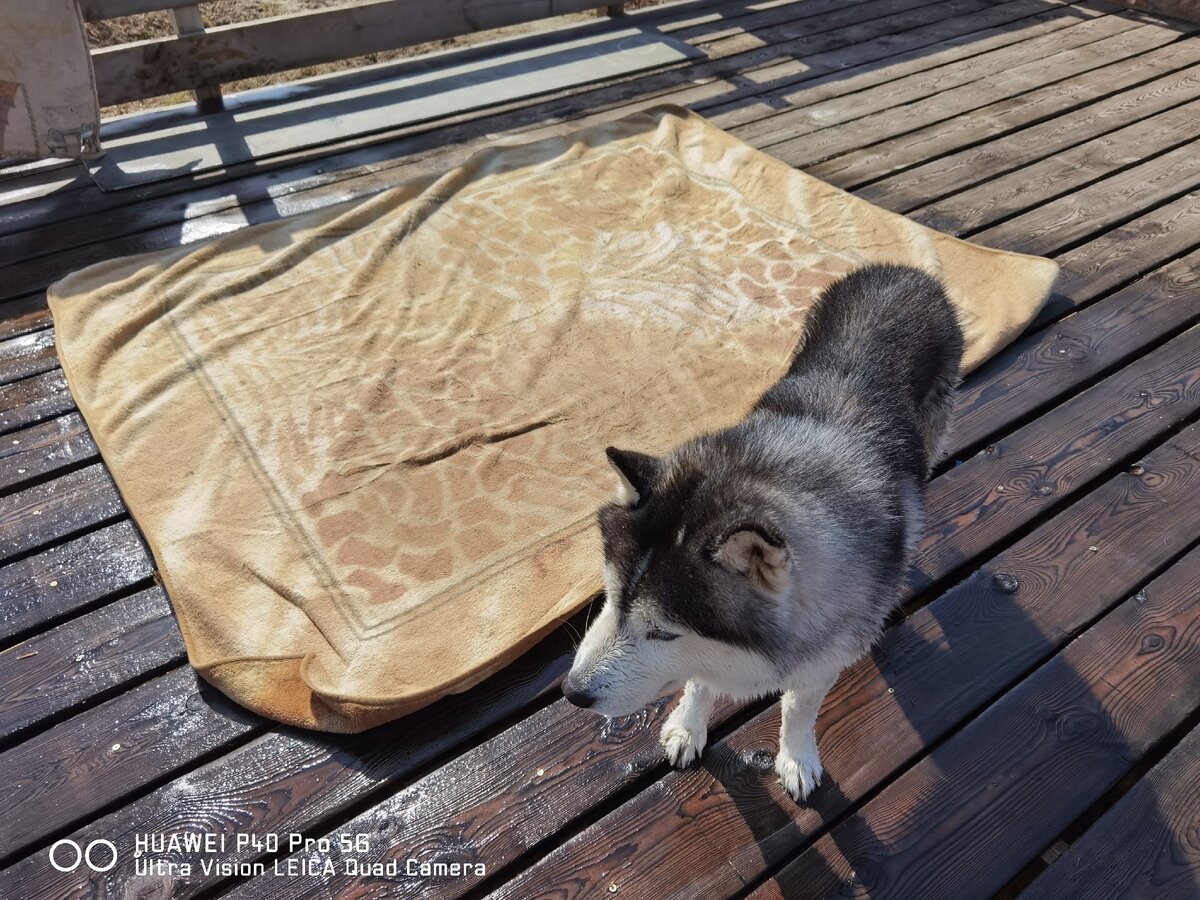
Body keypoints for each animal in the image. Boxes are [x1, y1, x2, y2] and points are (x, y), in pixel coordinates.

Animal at [561, 262, 964, 801]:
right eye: (610, 598)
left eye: (663, 632)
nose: (572, 693)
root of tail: (905, 270)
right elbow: (699, 679)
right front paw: (689, 724)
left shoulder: (825, 653)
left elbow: (797, 708)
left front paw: (796, 756)